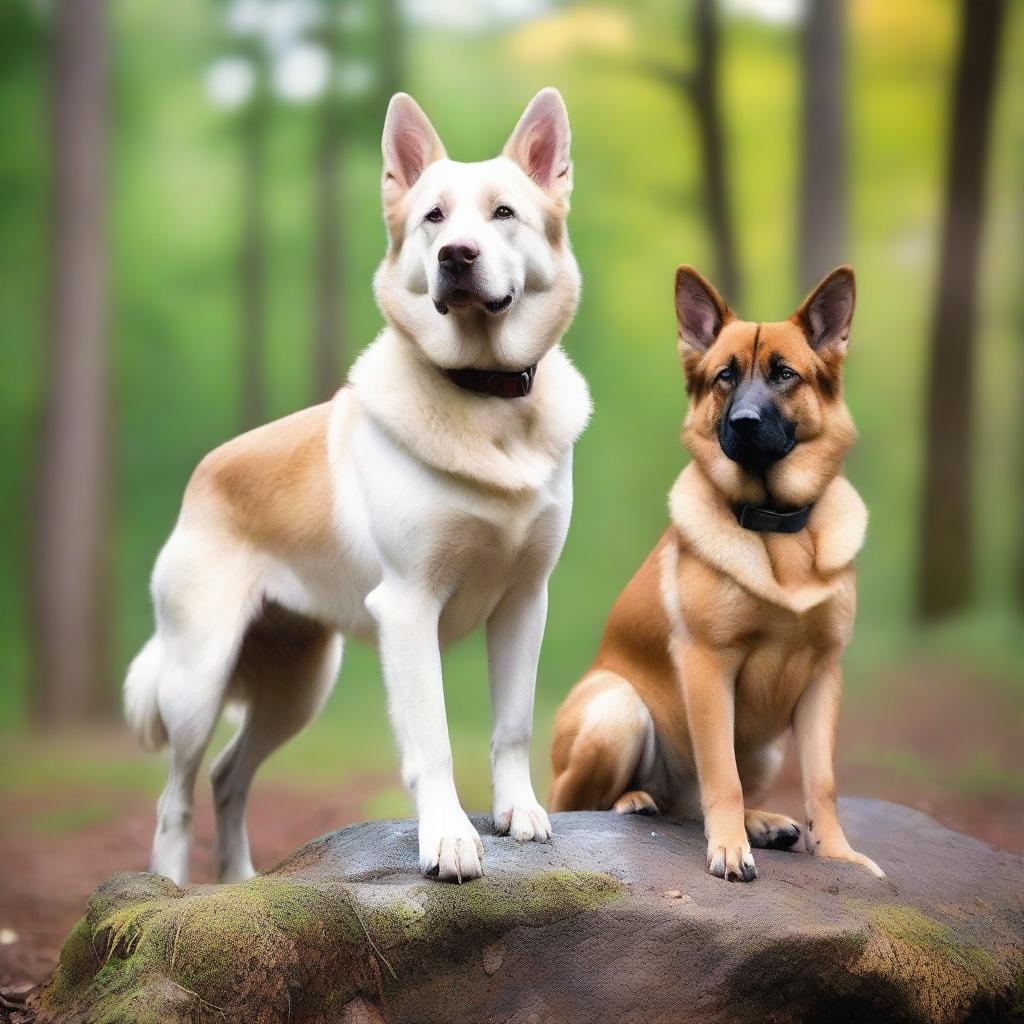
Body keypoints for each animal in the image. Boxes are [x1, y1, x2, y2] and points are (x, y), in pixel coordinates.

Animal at [125, 88, 593, 884]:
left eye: (503, 213)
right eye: (433, 217)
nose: (456, 256)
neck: (486, 402)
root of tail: (203, 476)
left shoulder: (525, 602)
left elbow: (513, 724)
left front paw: (519, 813)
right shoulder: (408, 609)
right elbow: (432, 742)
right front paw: (448, 842)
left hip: (297, 686)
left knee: (228, 775)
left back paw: (242, 884)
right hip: (198, 680)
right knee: (175, 797)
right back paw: (169, 888)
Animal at [548, 264, 884, 880]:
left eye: (784, 374)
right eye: (724, 376)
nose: (744, 423)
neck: (777, 527)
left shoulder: (824, 677)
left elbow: (822, 783)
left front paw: (838, 854)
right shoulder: (708, 667)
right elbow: (721, 774)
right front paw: (728, 848)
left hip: (768, 744)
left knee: (697, 802)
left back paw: (760, 820)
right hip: (617, 711)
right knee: (577, 804)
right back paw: (637, 800)